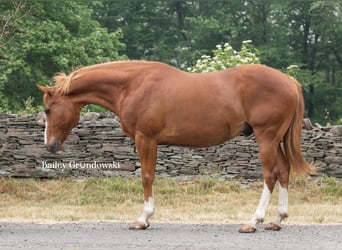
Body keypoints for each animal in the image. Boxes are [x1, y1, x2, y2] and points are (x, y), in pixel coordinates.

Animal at [36, 60, 312, 232]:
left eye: (48, 110)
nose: (50, 145)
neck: (133, 85)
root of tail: (290, 82)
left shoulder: (146, 138)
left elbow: (147, 177)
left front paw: (143, 219)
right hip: (275, 140)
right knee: (284, 172)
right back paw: (277, 219)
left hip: (266, 137)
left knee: (270, 175)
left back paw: (254, 221)